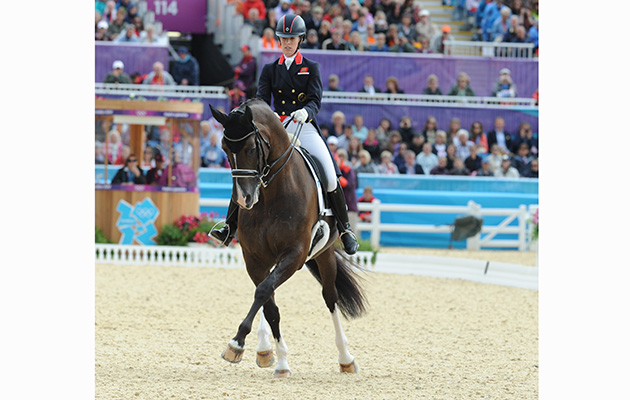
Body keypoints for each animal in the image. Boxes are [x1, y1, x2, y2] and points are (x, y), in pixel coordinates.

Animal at [211, 100, 370, 378]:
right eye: (224, 149)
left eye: (252, 148)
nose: (244, 200)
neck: (272, 194)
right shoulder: (254, 259)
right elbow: (268, 303)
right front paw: (278, 360)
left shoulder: (294, 255)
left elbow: (264, 292)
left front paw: (237, 343)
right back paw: (265, 351)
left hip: (324, 255)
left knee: (330, 298)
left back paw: (346, 359)